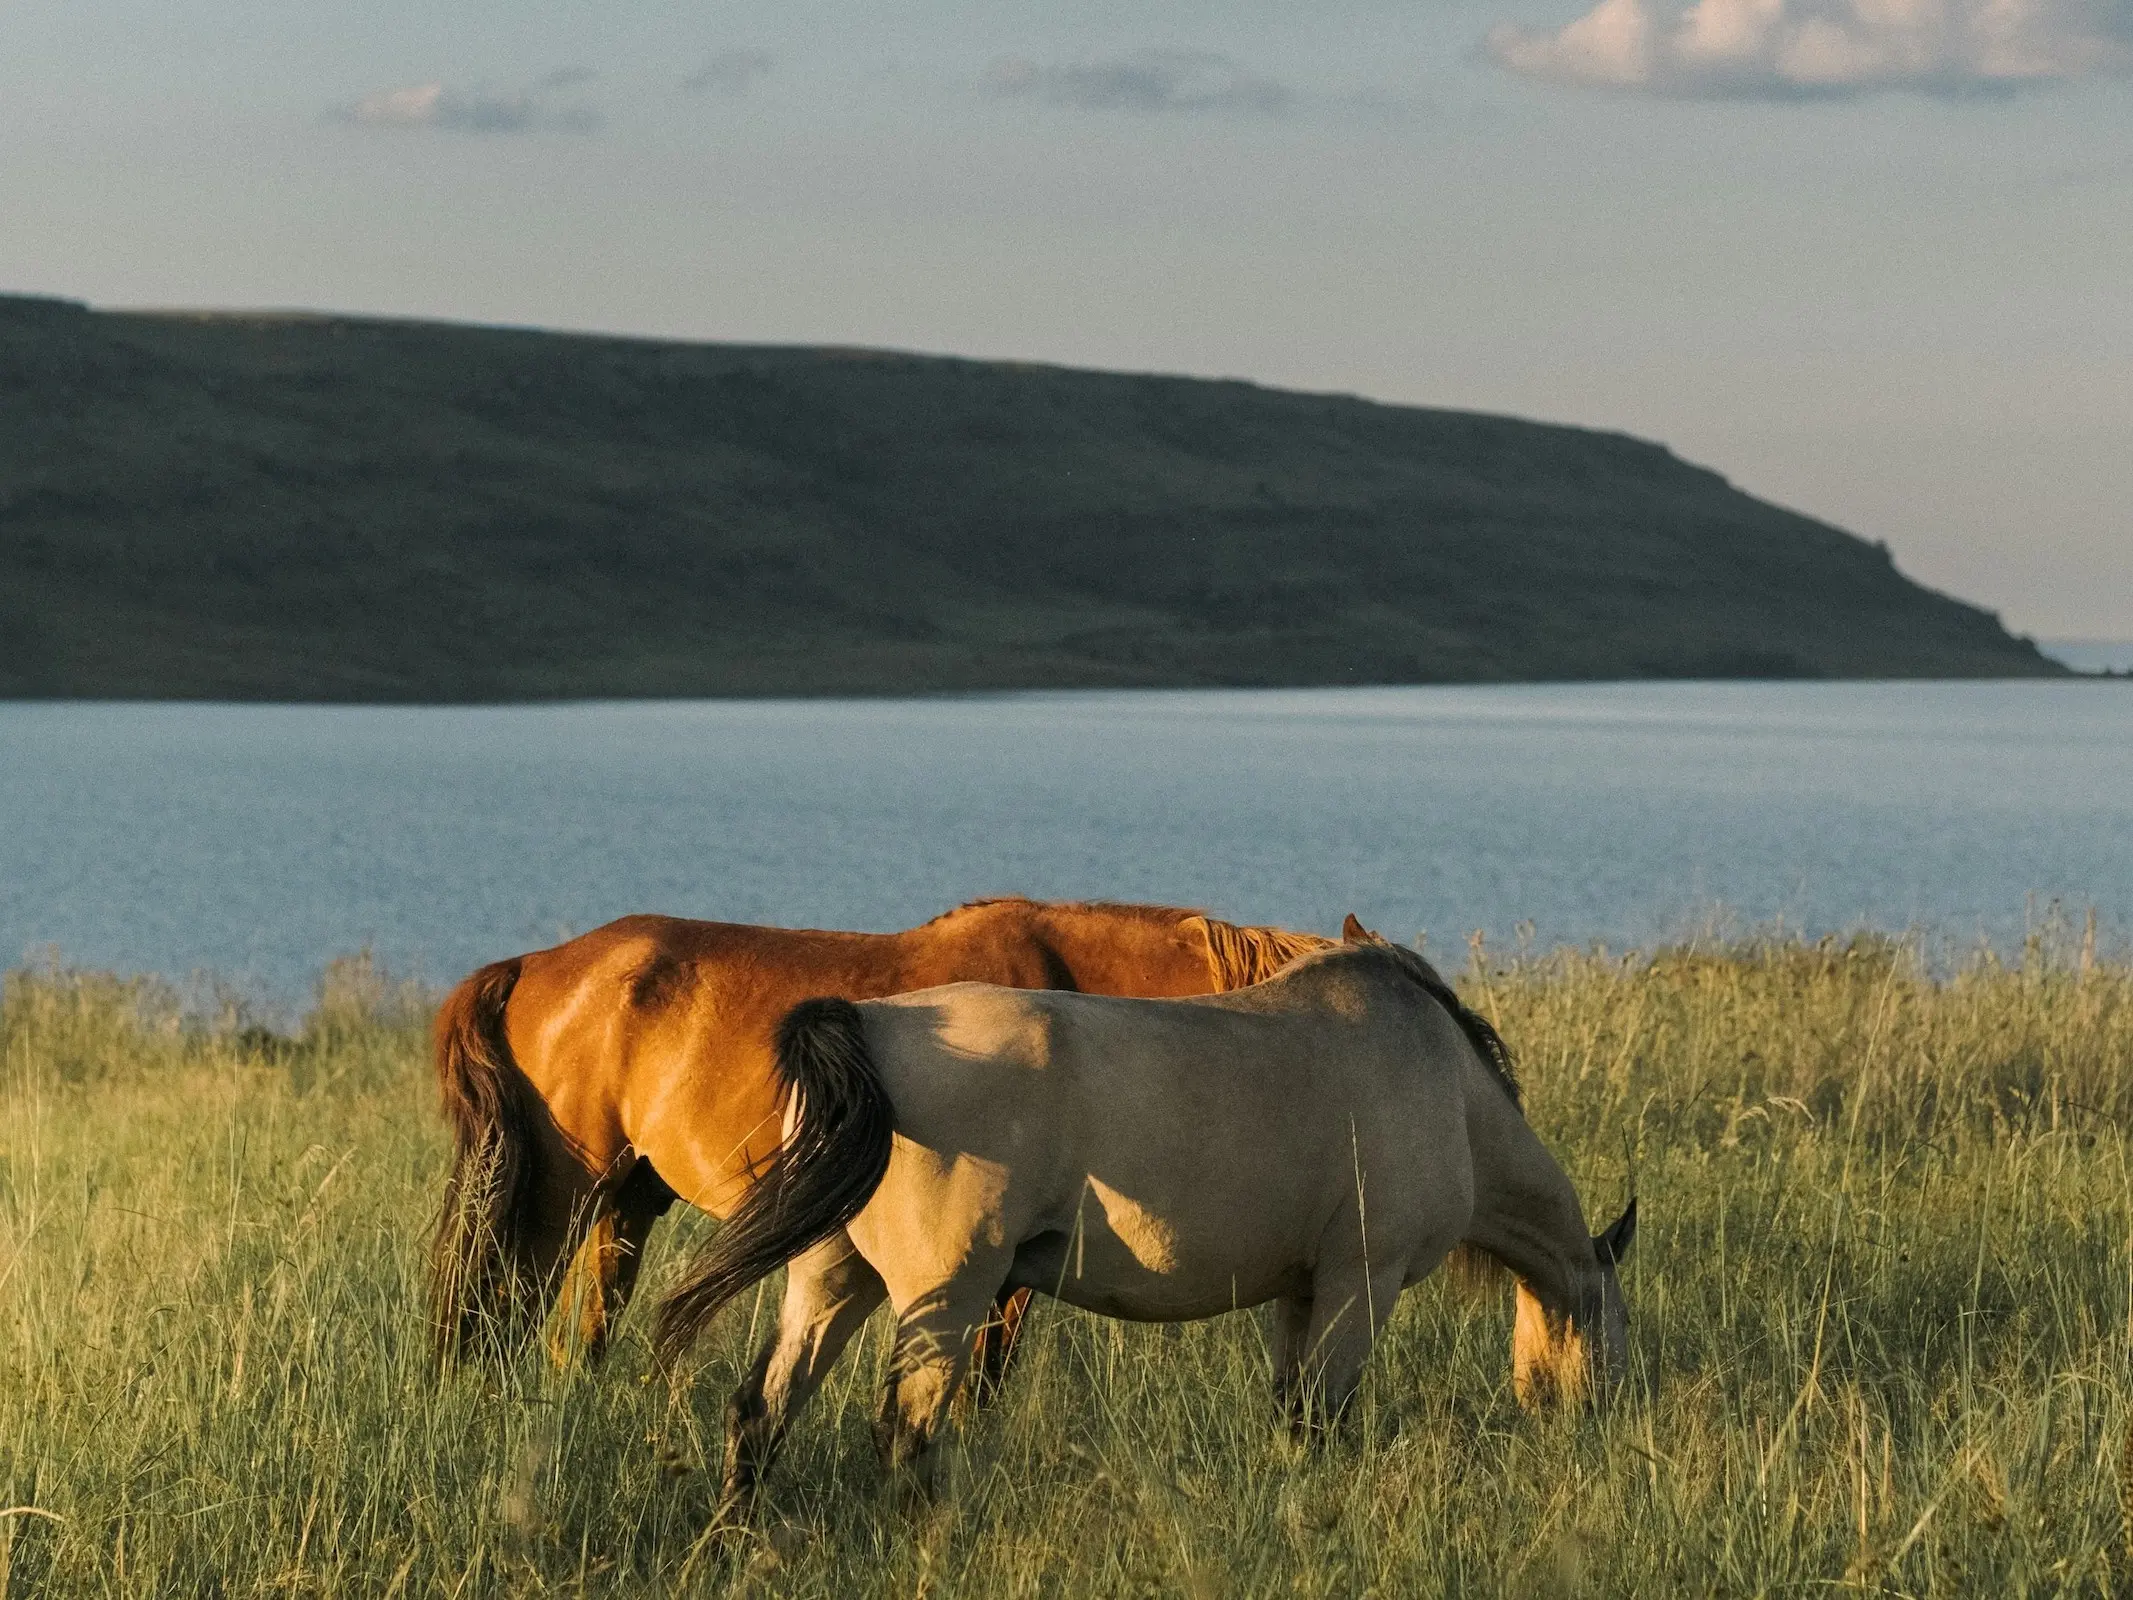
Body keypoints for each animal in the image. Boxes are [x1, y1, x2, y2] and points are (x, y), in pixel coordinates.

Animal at [656, 921, 1638, 1518]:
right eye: (1618, 1329)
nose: (1599, 1424)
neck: (1447, 1088)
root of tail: (868, 1026)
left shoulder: (1300, 1293)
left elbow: (1292, 1415)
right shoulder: (1361, 1284)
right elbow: (1323, 1418)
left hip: (833, 1280)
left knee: (761, 1411)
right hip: (947, 1298)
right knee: (903, 1432)